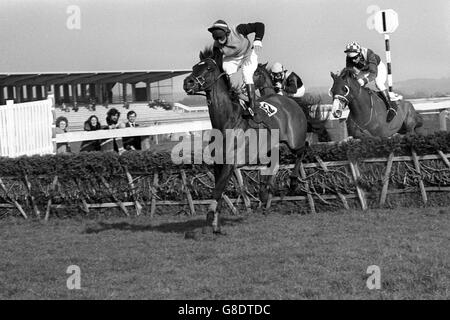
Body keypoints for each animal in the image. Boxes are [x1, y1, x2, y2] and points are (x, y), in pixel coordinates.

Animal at [182, 48, 306, 236]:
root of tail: (290, 101)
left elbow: (217, 192)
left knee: (302, 151)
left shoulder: (229, 164)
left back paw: (292, 182)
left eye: (209, 68)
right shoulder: (218, 164)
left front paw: (209, 221)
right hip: (270, 148)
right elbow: (219, 192)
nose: (187, 82)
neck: (226, 121)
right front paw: (216, 226)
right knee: (274, 165)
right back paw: (264, 193)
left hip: (294, 140)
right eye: (194, 67)